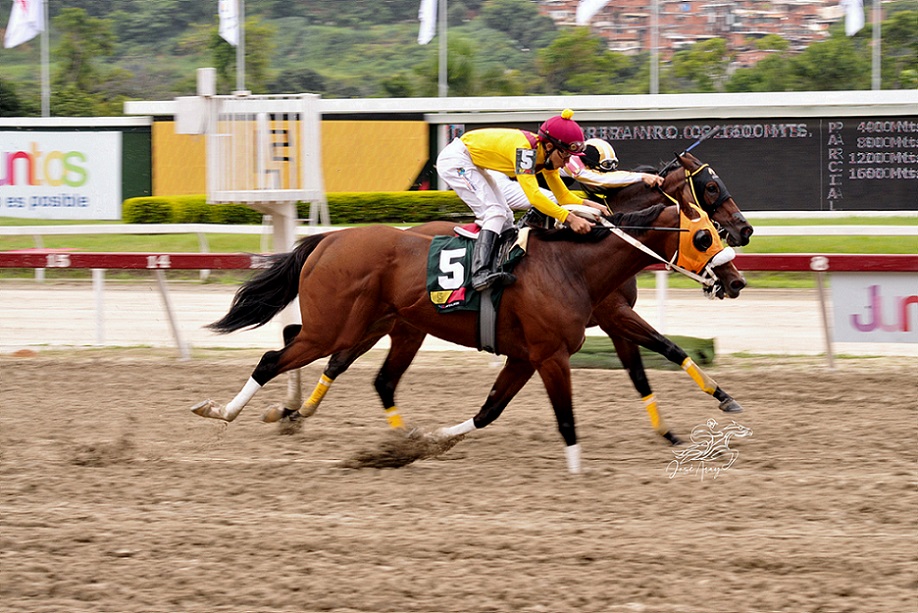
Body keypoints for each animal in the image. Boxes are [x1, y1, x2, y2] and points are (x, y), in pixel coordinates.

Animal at [191, 159, 746, 473]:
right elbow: (576, 408)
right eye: (704, 232)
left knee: (340, 362)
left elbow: (491, 410)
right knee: (277, 356)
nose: (737, 274)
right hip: (342, 325)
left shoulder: (539, 350)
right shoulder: (561, 347)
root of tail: (327, 239)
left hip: (380, 326)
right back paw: (228, 412)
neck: (571, 262)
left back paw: (328, 422)